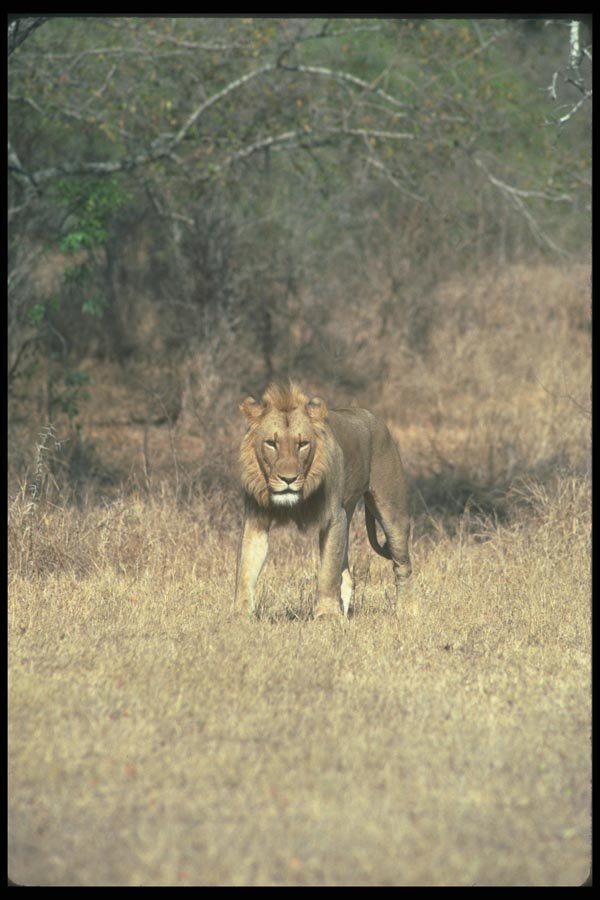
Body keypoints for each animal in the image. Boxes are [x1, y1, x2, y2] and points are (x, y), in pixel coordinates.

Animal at [234, 381, 411, 619]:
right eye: (271, 443)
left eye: (302, 444)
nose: (288, 479)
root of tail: (374, 417)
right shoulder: (256, 520)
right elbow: (246, 569)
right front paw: (239, 615)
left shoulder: (334, 518)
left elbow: (328, 570)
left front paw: (326, 615)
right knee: (347, 576)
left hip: (392, 512)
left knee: (402, 565)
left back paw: (406, 611)